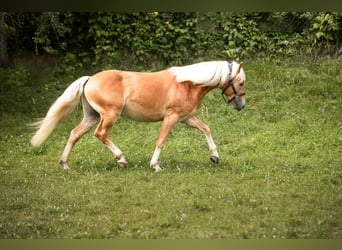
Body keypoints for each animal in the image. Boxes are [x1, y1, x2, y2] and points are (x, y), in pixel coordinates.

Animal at [30, 60, 246, 172]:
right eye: (241, 82)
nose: (241, 105)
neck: (188, 84)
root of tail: (90, 79)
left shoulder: (186, 117)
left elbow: (206, 129)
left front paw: (215, 157)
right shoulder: (171, 117)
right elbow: (161, 140)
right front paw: (155, 165)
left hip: (91, 116)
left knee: (75, 134)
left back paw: (65, 164)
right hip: (109, 115)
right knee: (100, 134)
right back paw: (121, 159)